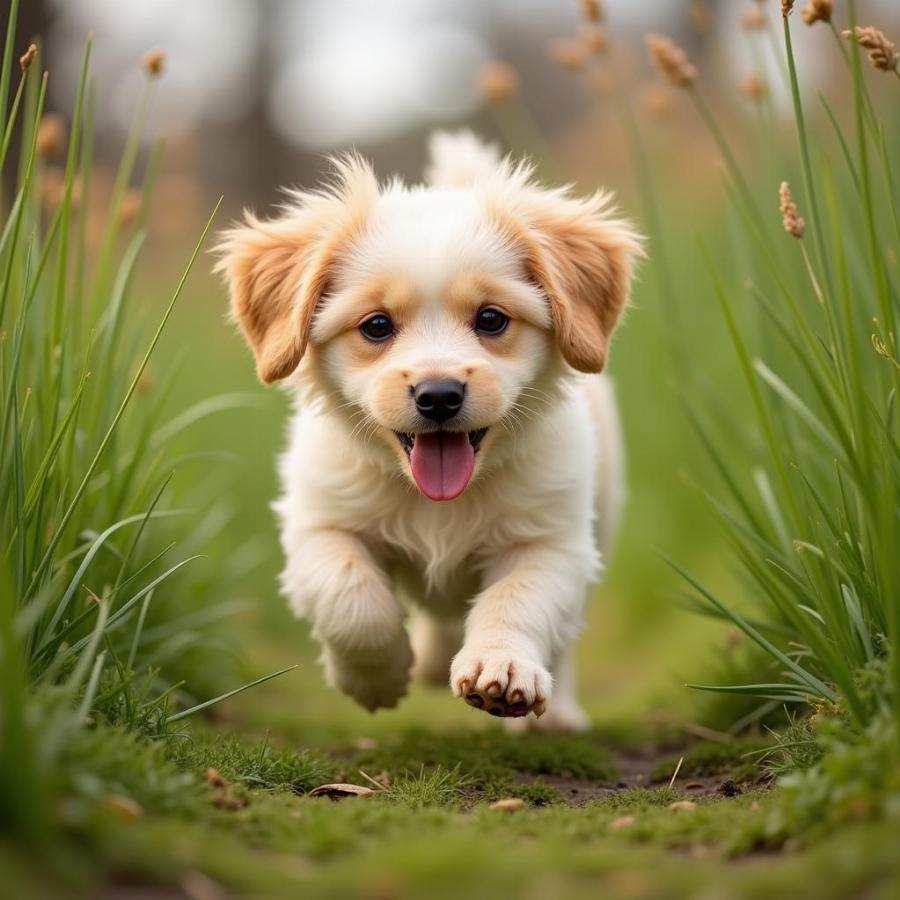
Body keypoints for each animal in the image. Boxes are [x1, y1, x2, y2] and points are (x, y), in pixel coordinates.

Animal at [217, 130, 640, 732]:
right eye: (376, 326)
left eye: (491, 319)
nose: (438, 394)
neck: (438, 503)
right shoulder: (320, 523)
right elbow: (352, 601)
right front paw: (376, 679)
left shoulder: (553, 541)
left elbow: (518, 600)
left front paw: (501, 667)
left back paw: (552, 714)